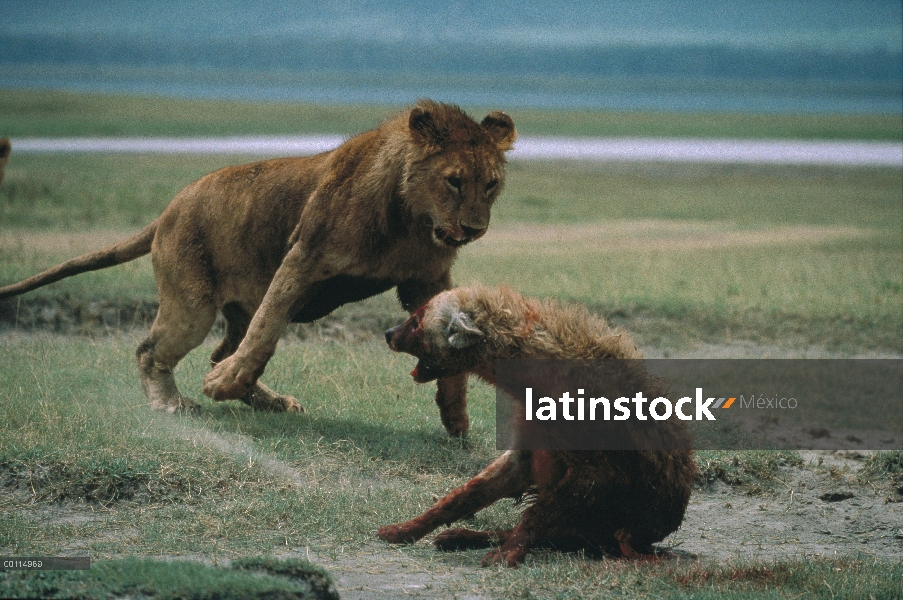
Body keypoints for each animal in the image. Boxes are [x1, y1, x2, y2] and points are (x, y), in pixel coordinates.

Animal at [0, 101, 520, 434]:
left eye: (490, 184)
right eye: (454, 181)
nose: (475, 229)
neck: (412, 219)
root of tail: (167, 211)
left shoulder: (425, 278)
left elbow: (448, 341)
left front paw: (456, 418)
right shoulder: (304, 255)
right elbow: (267, 329)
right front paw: (221, 386)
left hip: (230, 302)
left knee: (221, 347)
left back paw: (266, 399)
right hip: (192, 303)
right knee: (153, 350)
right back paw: (172, 404)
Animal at [378, 286, 696, 568]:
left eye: (416, 321)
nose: (389, 333)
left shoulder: (598, 471)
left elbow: (538, 513)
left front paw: (505, 556)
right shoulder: (526, 448)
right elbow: (465, 493)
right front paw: (402, 530)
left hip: (619, 529)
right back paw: (457, 536)